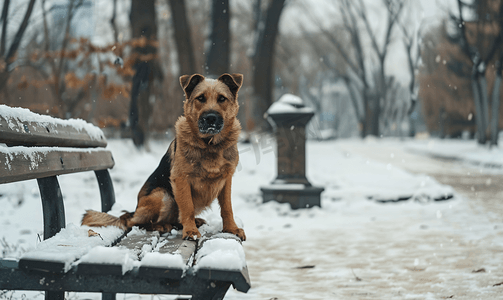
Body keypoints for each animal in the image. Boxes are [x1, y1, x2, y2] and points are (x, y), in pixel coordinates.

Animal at [81, 73, 245, 241]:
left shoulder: (226, 180)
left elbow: (227, 207)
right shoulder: (181, 179)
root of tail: (134, 211)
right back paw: (161, 226)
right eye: (200, 98)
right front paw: (191, 231)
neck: (210, 144)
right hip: (162, 195)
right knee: (134, 223)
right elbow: (187, 207)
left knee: (173, 220)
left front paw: (231, 228)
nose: (210, 118)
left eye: (222, 99)